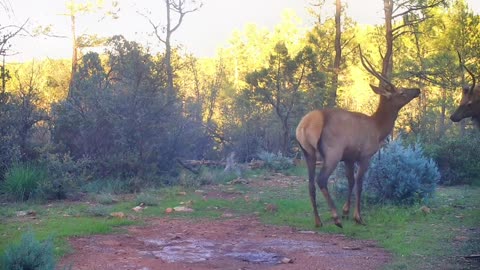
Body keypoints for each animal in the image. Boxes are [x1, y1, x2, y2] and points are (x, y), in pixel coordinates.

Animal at [296, 48, 420, 228]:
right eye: (402, 92)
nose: (417, 89)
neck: (379, 129)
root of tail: (305, 125)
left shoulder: (349, 157)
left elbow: (350, 181)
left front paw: (346, 211)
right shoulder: (365, 155)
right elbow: (360, 183)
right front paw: (357, 217)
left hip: (307, 153)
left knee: (310, 184)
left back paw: (318, 221)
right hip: (333, 152)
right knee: (321, 180)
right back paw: (335, 218)